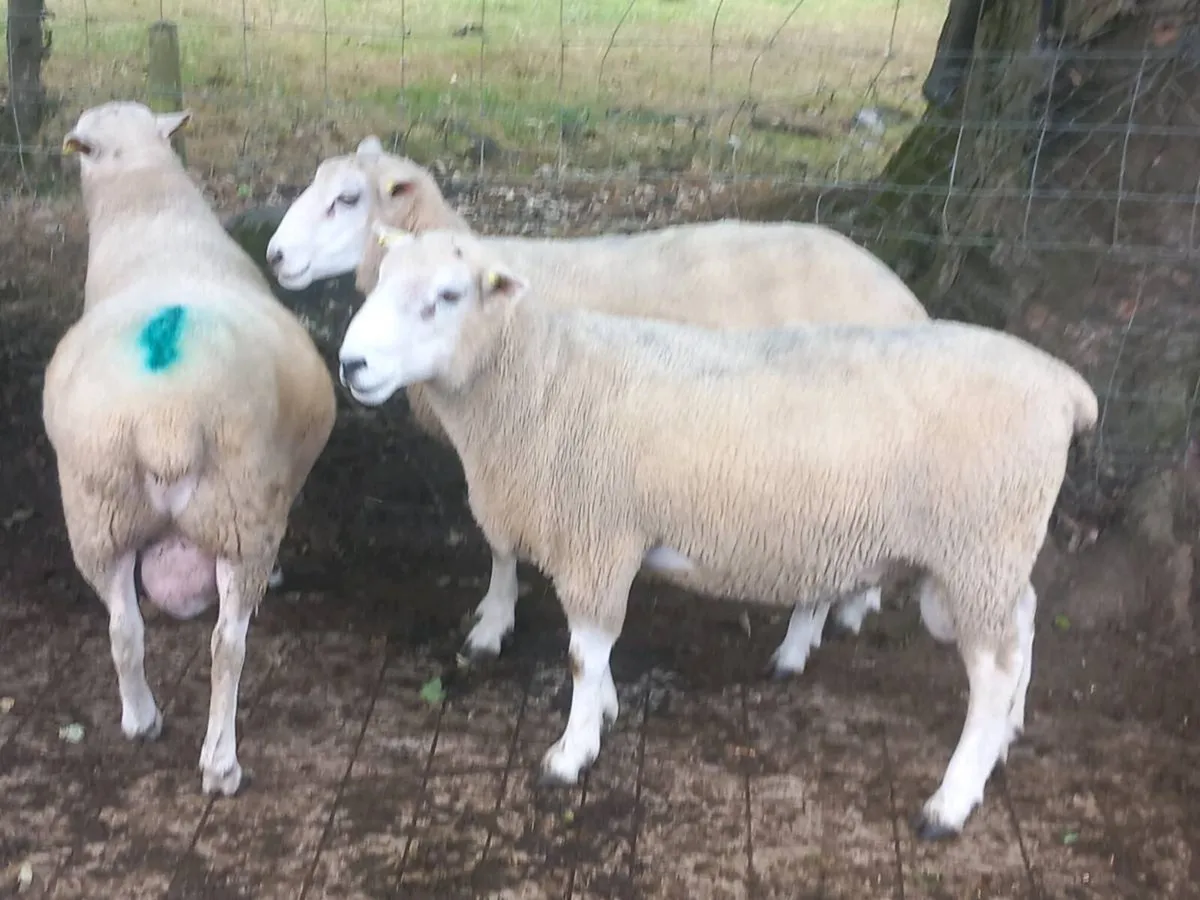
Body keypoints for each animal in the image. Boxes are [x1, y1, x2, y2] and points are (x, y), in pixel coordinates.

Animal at [44, 101, 337, 796]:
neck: (150, 210)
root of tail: (166, 418)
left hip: (99, 515)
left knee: (123, 629)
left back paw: (140, 718)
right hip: (236, 515)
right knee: (227, 647)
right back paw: (220, 762)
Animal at [336, 228, 1098, 839]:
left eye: (447, 295)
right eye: (377, 280)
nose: (351, 365)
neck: (540, 380)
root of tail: (1067, 388)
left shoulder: (597, 535)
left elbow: (584, 653)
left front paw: (571, 752)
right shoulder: (602, 540)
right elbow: (596, 652)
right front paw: (604, 712)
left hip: (977, 545)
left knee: (993, 671)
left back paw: (952, 799)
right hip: (991, 553)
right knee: (1023, 621)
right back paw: (1007, 734)